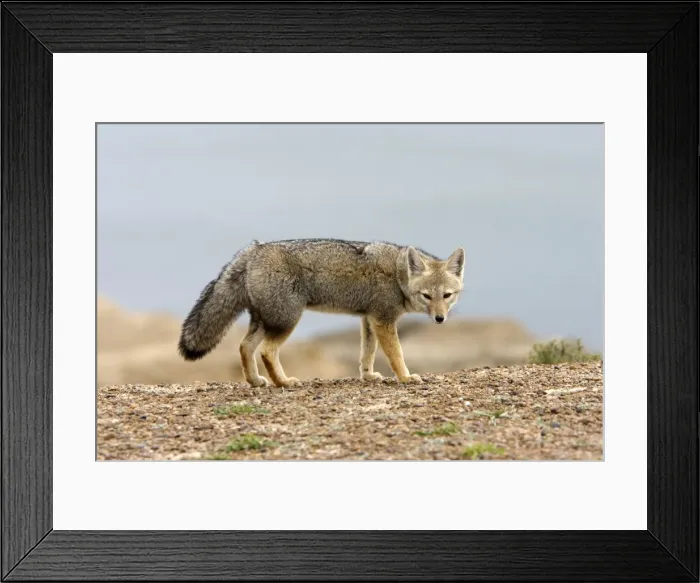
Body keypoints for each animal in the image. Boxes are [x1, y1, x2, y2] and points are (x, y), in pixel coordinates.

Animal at [178, 238, 465, 388]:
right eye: (426, 296)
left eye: (447, 296)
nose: (440, 319)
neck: (397, 274)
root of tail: (253, 250)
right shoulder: (383, 319)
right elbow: (396, 353)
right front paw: (405, 377)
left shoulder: (369, 319)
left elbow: (367, 353)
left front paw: (368, 375)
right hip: (287, 320)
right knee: (267, 351)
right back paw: (283, 382)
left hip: (266, 320)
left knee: (244, 346)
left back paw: (256, 380)